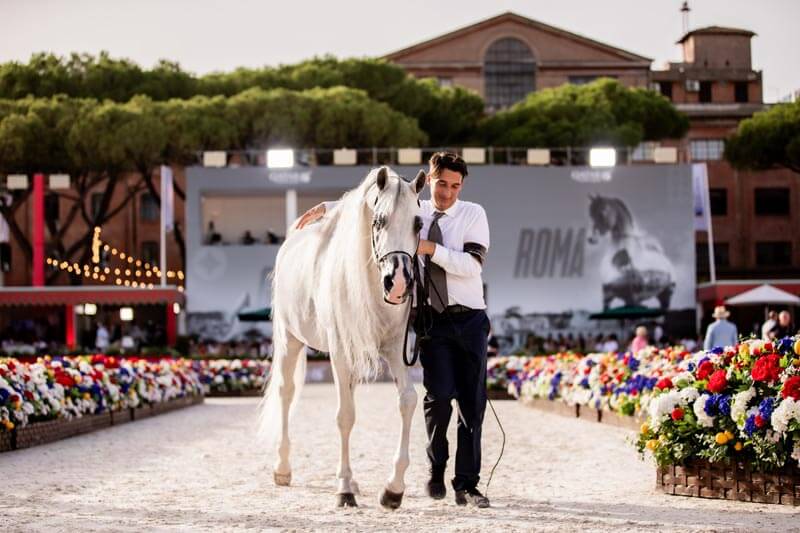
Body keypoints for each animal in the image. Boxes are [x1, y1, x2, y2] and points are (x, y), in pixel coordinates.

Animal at [260, 165, 424, 508]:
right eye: (379, 220)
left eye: (419, 223)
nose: (399, 283)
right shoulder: (339, 350)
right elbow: (345, 416)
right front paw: (344, 487)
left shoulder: (394, 348)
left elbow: (407, 400)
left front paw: (393, 488)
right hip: (290, 338)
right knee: (286, 392)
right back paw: (282, 468)